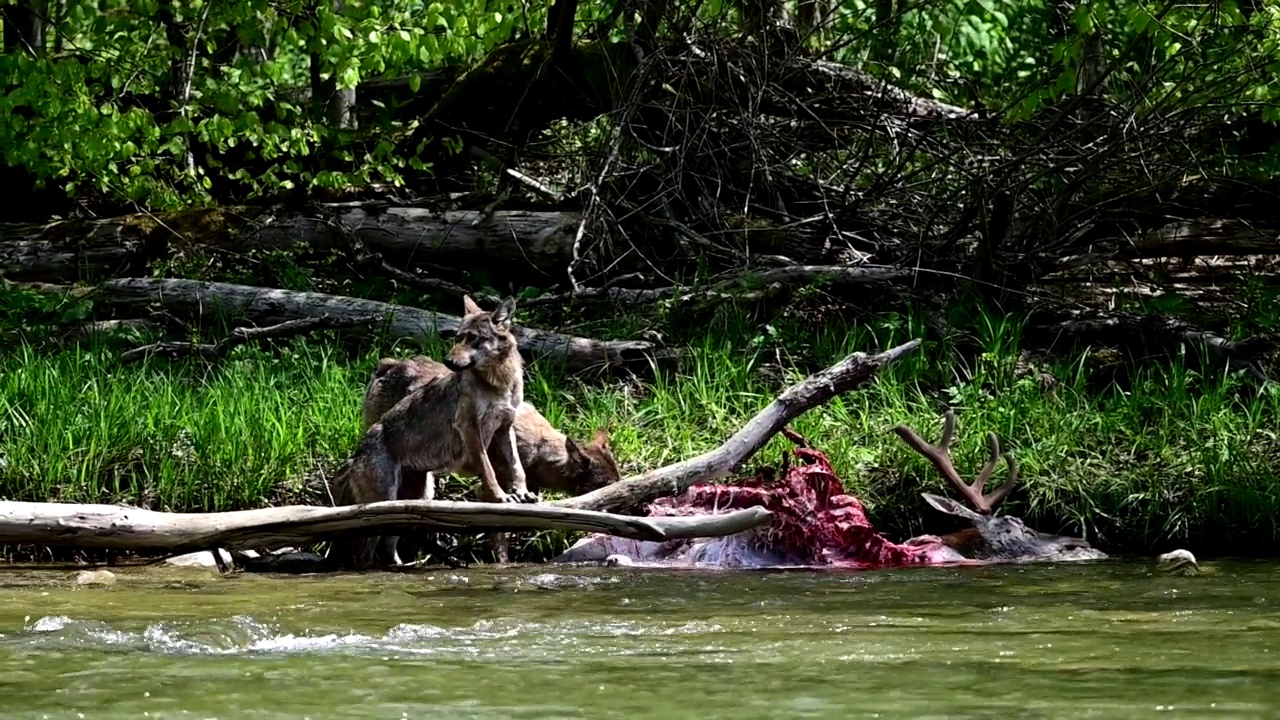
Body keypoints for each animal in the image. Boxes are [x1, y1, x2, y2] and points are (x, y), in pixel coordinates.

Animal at [330, 292, 535, 566]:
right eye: (458, 337)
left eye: (474, 338)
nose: (448, 361)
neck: (498, 383)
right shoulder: (470, 428)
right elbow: (489, 470)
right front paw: (501, 496)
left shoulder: (505, 427)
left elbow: (517, 466)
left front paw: (523, 493)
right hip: (384, 503)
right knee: (365, 555)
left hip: (417, 500)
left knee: (387, 548)